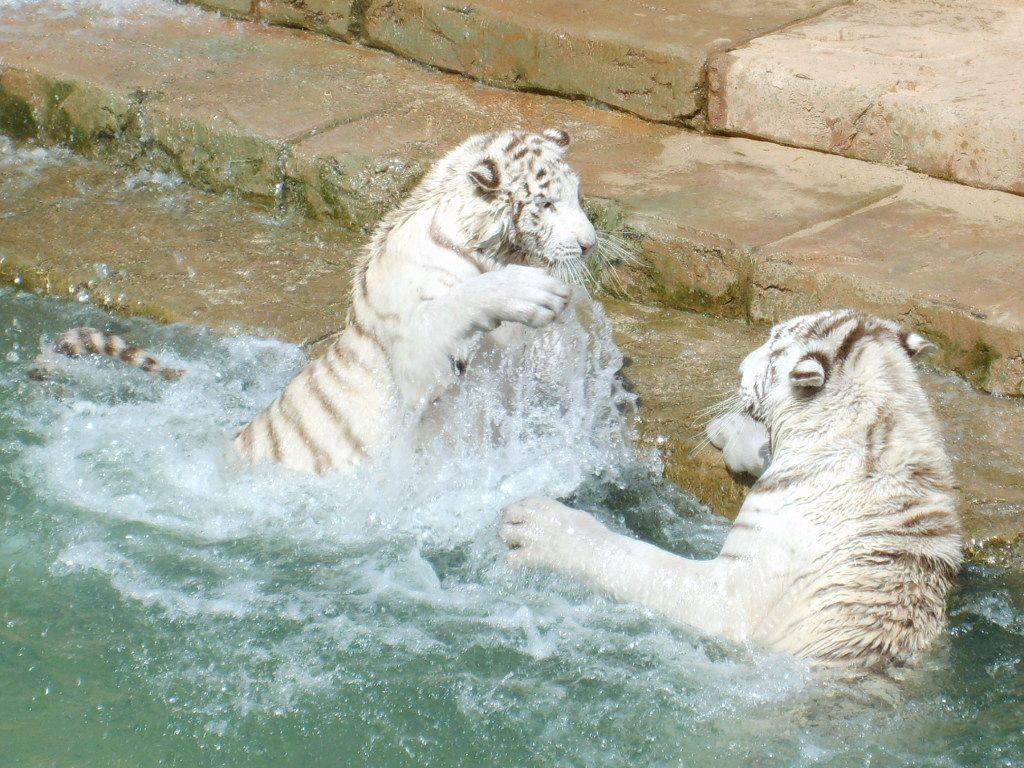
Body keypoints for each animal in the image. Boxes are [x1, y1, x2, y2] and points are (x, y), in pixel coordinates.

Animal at [500, 309, 962, 669]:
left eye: (773, 345)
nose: (740, 365)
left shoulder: (746, 585)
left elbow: (647, 565)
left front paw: (534, 524)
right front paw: (731, 431)